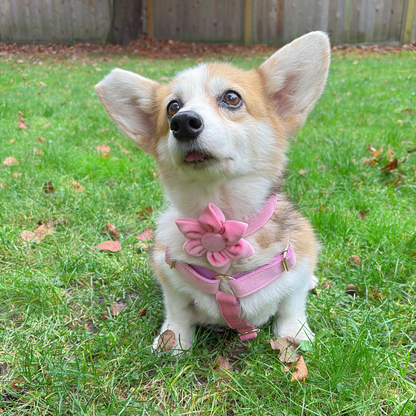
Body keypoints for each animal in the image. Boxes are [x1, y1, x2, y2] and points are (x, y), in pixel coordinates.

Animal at [96, 31, 330, 352]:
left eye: (232, 98)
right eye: (172, 107)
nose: (182, 122)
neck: (219, 217)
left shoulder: (299, 260)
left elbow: (292, 305)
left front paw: (294, 335)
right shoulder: (168, 275)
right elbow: (177, 310)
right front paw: (173, 340)